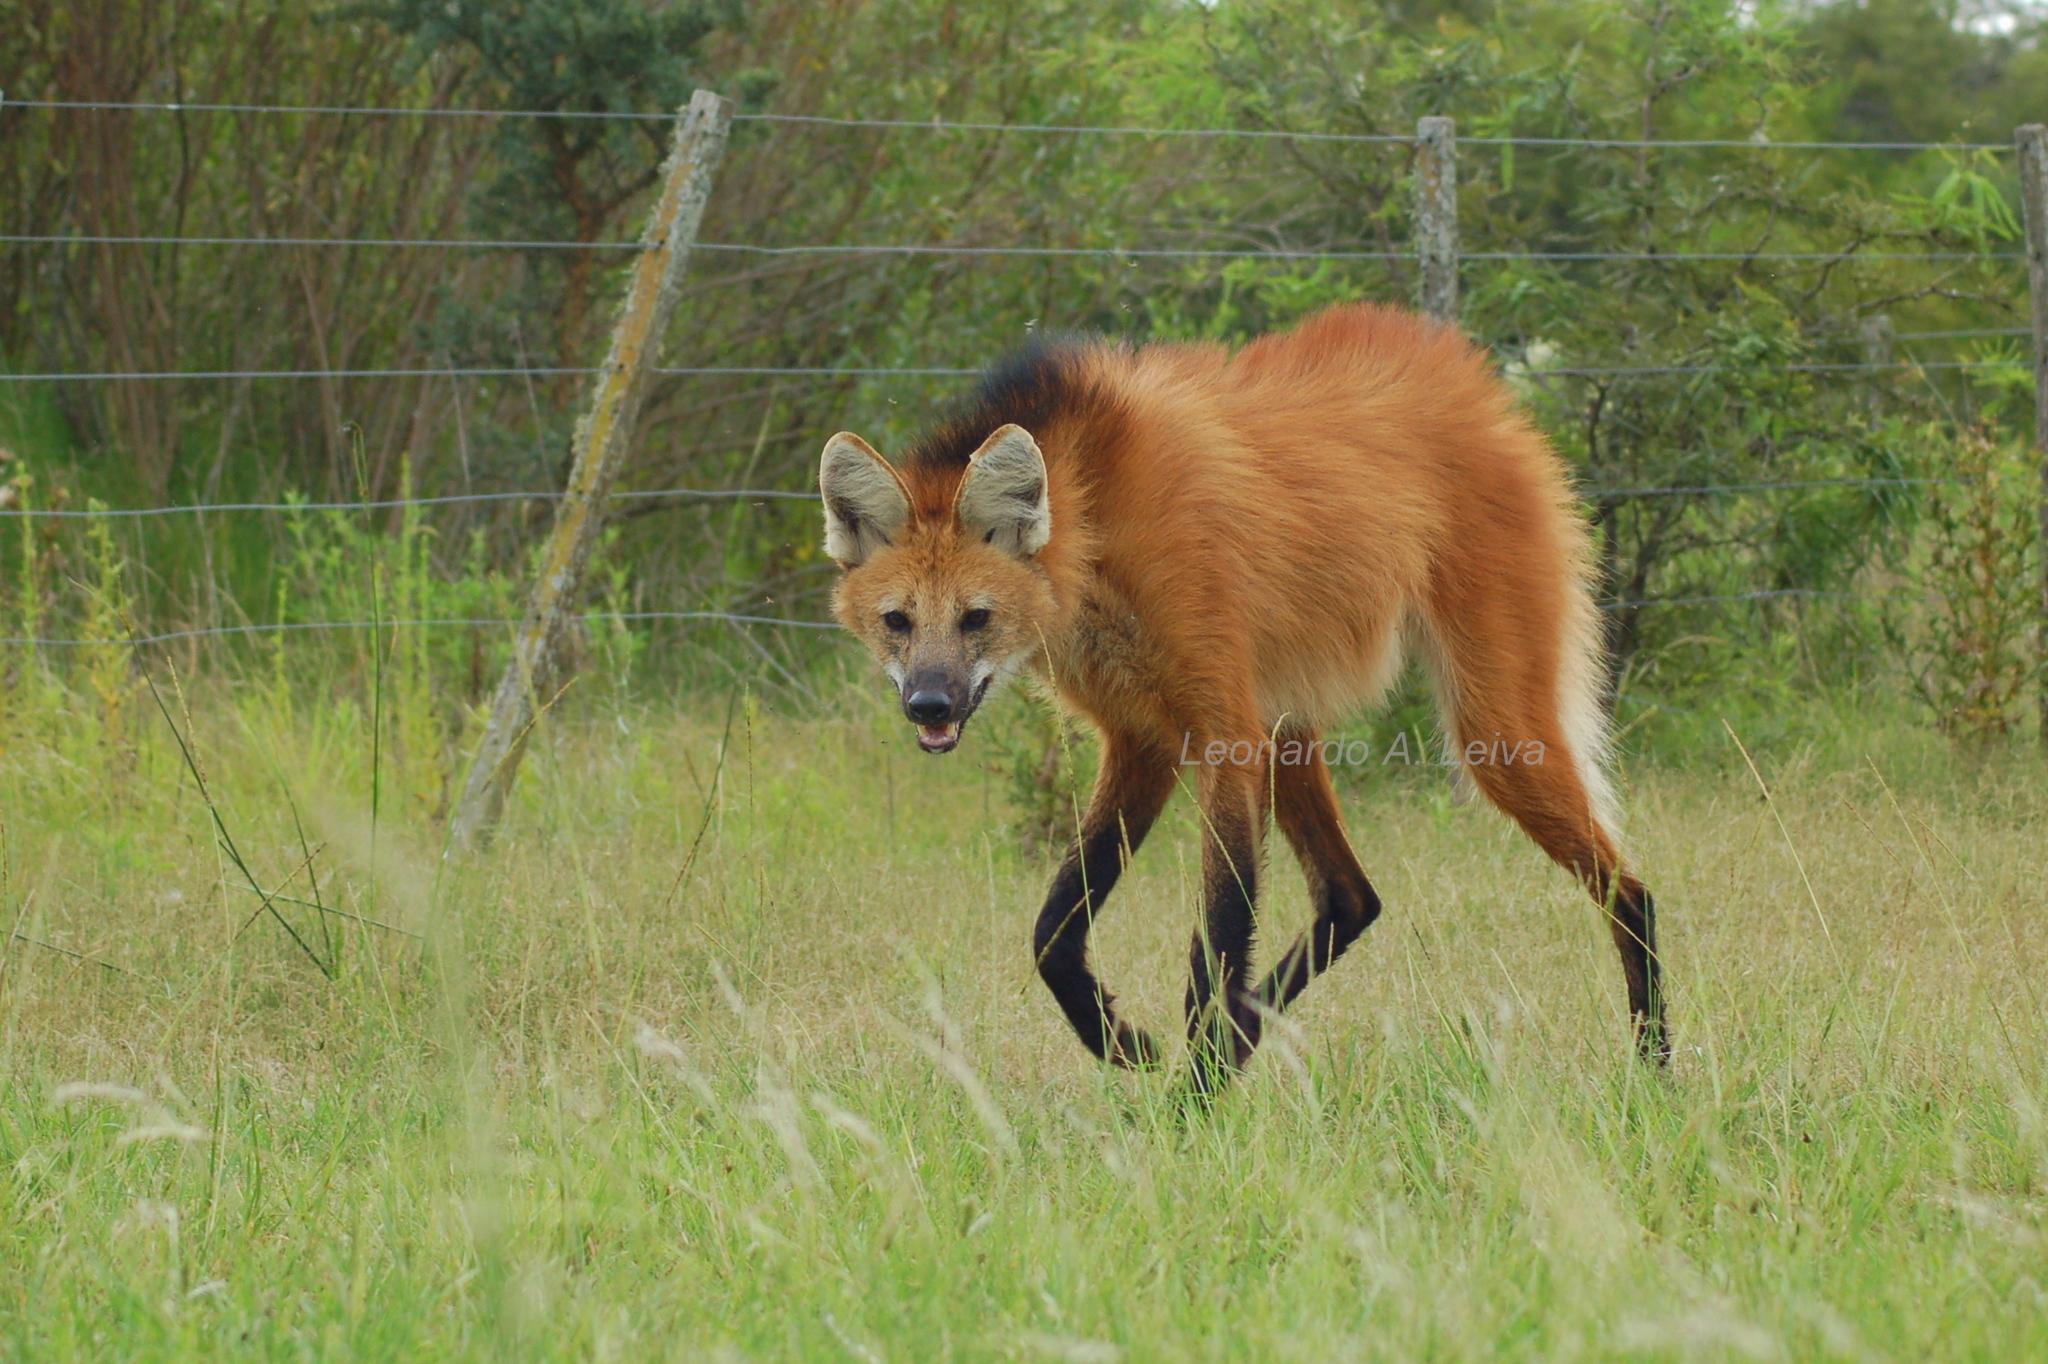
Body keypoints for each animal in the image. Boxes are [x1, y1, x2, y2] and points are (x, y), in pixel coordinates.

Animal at [818, 302, 1665, 1090]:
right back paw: (1242, 1041)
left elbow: (1217, 939)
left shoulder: (1222, 733)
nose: (929, 705)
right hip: (1289, 726)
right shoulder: (1144, 740)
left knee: (1632, 892)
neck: (1100, 539)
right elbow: (1054, 930)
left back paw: (1657, 1070)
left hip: (1493, 735)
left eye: (976, 619)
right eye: (898, 622)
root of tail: (1483, 390)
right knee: (1351, 899)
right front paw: (1127, 1044)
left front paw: (1190, 1108)